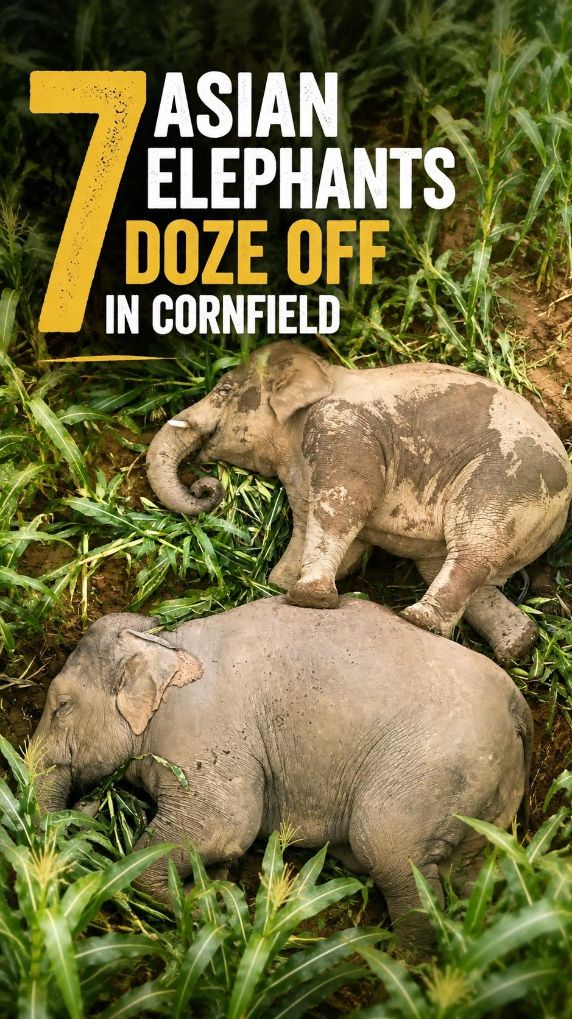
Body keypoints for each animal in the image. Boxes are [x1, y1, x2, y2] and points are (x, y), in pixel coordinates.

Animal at [31, 595, 532, 951]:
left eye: (61, 706)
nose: (87, 804)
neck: (167, 643)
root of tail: (516, 706)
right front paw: (216, 886)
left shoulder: (205, 733)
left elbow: (225, 825)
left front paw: (206, 903)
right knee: (465, 873)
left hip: (427, 775)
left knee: (391, 855)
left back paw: (403, 963)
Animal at [146, 341, 572, 664]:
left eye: (223, 391)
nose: (206, 488)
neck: (327, 372)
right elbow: (325, 533)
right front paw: (279, 589)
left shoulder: (340, 427)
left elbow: (345, 504)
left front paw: (307, 599)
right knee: (449, 567)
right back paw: (518, 646)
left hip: (508, 482)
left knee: (472, 551)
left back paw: (418, 622)